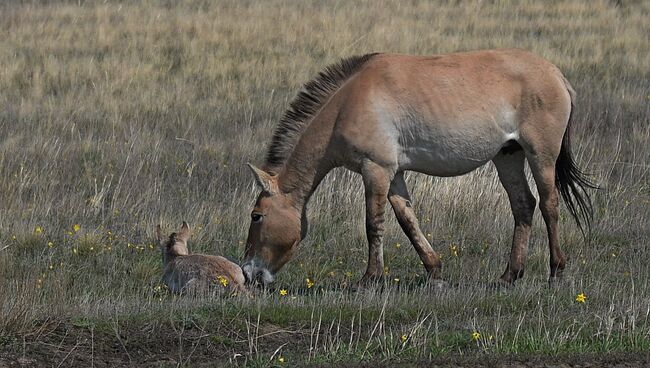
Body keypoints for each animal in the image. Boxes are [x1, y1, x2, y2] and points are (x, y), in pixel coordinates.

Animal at [239, 47, 592, 286]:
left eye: (257, 216)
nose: (248, 272)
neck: (346, 104)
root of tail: (555, 73)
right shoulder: (393, 174)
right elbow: (407, 220)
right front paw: (434, 271)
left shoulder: (376, 169)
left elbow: (373, 224)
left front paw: (370, 279)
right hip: (508, 155)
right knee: (523, 205)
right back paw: (509, 275)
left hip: (540, 154)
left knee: (548, 205)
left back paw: (556, 272)